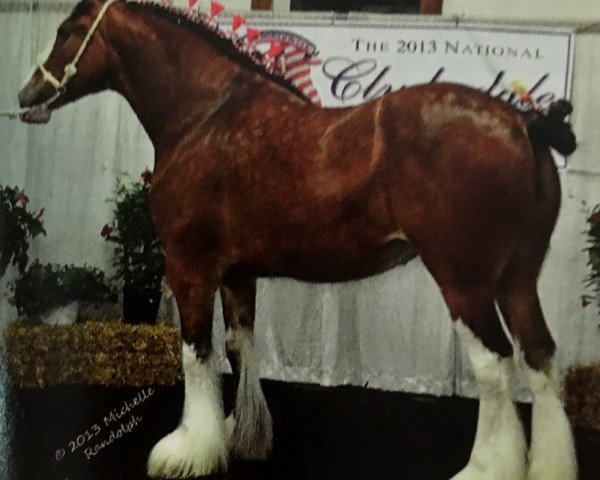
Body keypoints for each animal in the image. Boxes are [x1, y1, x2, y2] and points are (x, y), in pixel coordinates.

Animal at [18, 0, 580, 480]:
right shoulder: (237, 274)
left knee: (494, 365)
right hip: (516, 279)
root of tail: (524, 121)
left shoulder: (189, 266)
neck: (206, 115)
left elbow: (196, 352)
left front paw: (188, 449)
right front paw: (240, 435)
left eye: (68, 30)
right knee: (540, 357)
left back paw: (484, 468)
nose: (26, 95)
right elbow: (238, 346)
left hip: (464, 281)